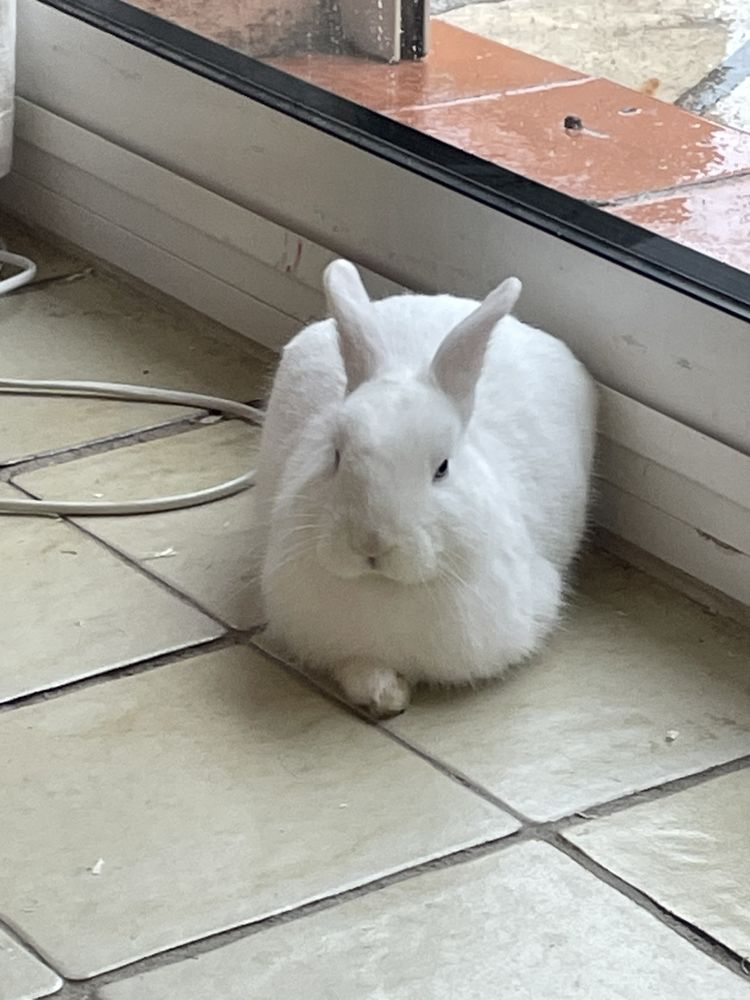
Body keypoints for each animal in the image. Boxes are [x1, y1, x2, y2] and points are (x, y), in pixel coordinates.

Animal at [248, 260, 597, 717]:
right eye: (335, 455)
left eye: (442, 469)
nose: (371, 543)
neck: (387, 587)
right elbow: (360, 668)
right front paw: (386, 695)